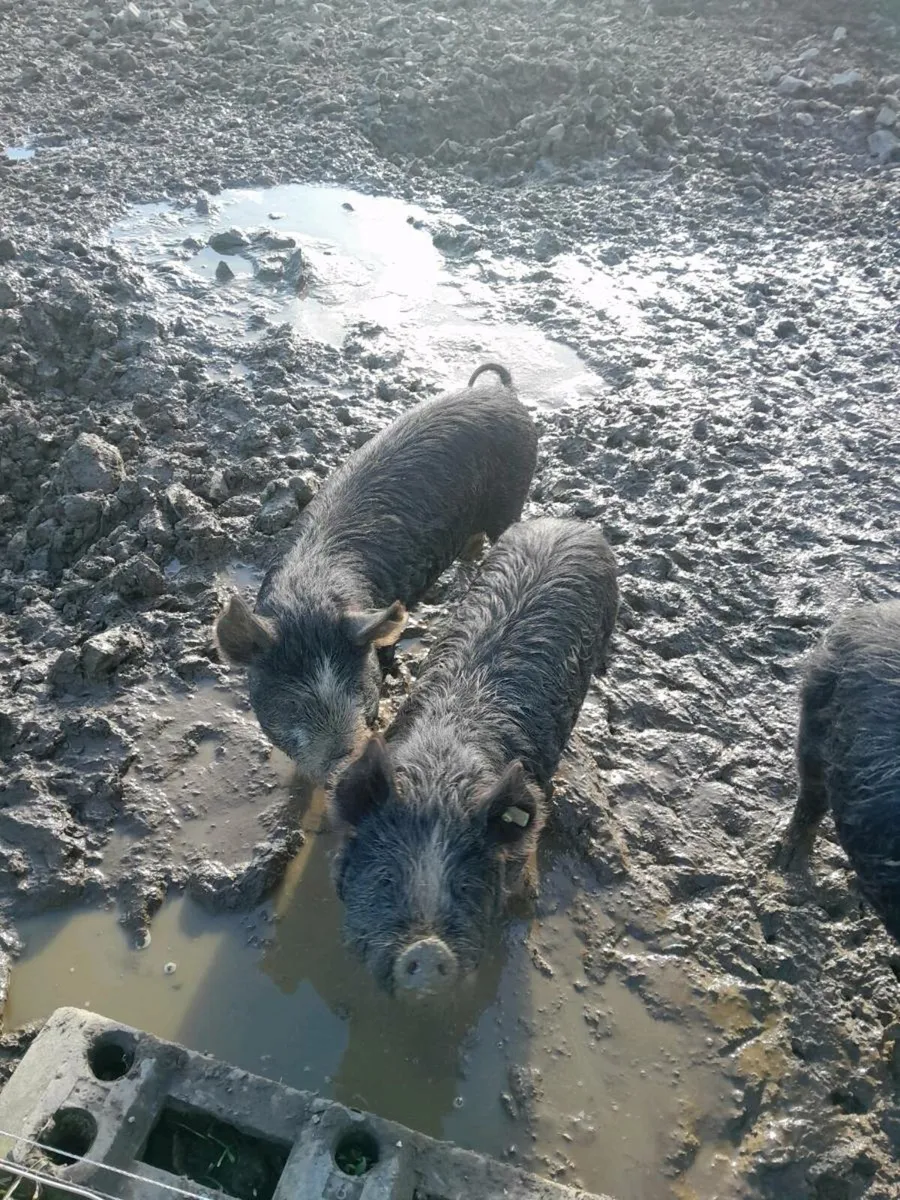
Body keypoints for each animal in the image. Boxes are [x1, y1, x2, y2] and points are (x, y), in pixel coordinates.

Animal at [214, 364, 537, 786]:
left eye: (360, 692)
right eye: (294, 704)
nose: (345, 768)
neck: (309, 591)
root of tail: (504, 392)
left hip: (513, 495)